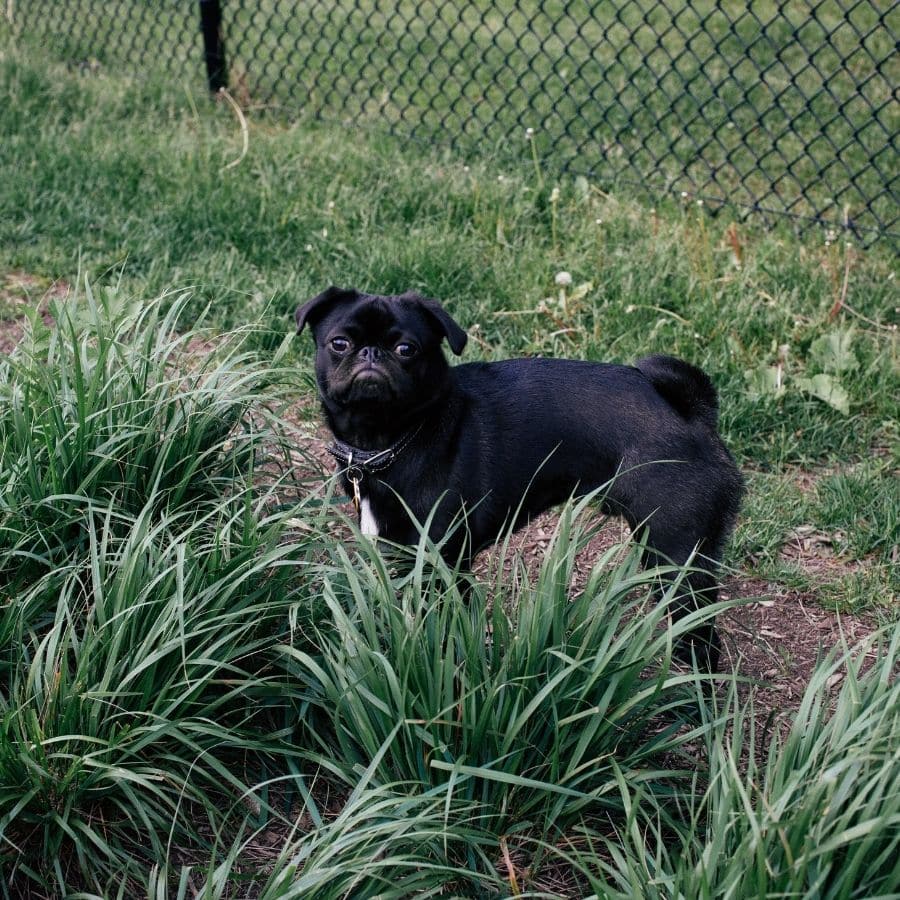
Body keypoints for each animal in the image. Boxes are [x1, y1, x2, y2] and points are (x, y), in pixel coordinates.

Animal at [298, 286, 740, 668]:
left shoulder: (446, 564)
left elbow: (446, 628)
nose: (371, 353)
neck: (389, 441)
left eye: (406, 349)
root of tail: (694, 415)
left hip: (676, 558)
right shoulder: (407, 558)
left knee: (702, 638)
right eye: (339, 343)